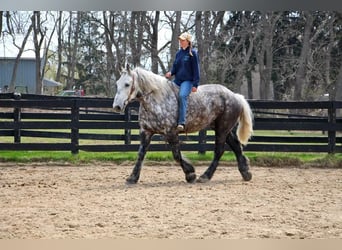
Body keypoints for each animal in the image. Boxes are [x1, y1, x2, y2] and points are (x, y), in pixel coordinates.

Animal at [113, 65, 254, 185]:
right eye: (117, 84)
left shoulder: (171, 133)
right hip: (223, 129)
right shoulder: (146, 132)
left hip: (222, 129)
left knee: (219, 151)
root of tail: (235, 96)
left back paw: (205, 176)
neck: (157, 100)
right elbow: (141, 154)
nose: (117, 106)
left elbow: (176, 155)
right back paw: (245, 172)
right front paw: (132, 177)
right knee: (236, 146)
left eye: (127, 84)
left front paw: (190, 174)